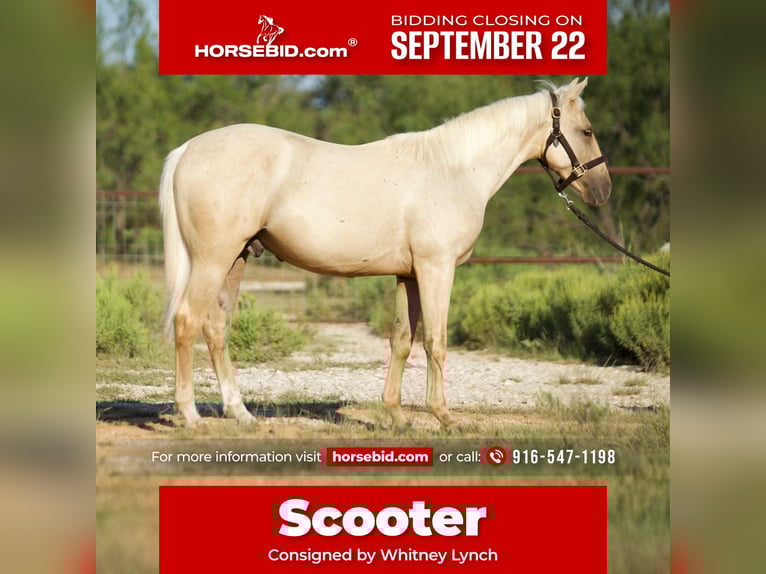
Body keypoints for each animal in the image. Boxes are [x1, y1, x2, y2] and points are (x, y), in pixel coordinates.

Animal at [159, 78, 611, 430]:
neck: (452, 170)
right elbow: (436, 341)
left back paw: (240, 414)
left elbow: (401, 340)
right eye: (588, 131)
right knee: (187, 321)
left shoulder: (408, 275)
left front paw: (394, 415)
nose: (603, 190)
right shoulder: (436, 269)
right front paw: (443, 416)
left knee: (215, 328)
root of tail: (188, 149)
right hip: (212, 261)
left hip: (234, 262)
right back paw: (191, 415)